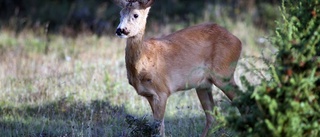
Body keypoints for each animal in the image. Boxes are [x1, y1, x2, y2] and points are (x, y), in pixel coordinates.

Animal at [114, 0, 241, 136]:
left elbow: (159, 127)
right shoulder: (150, 95)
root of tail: (238, 41)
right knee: (212, 116)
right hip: (203, 84)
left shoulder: (162, 91)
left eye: (136, 14)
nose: (120, 30)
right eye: (121, 13)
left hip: (224, 74)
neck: (143, 62)